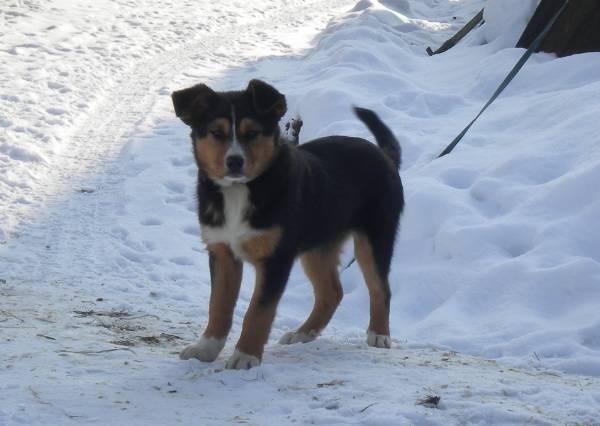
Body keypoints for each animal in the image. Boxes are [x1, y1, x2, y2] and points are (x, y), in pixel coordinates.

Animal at [171, 80, 406, 370]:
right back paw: (303, 333)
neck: (240, 192)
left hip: (375, 236)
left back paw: (379, 335)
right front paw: (206, 348)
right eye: (216, 133)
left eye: (252, 133)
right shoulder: (222, 251)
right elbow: (218, 306)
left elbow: (258, 310)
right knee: (332, 292)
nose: (234, 161)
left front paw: (245, 355)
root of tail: (384, 156)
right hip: (317, 245)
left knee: (380, 288)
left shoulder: (275, 258)